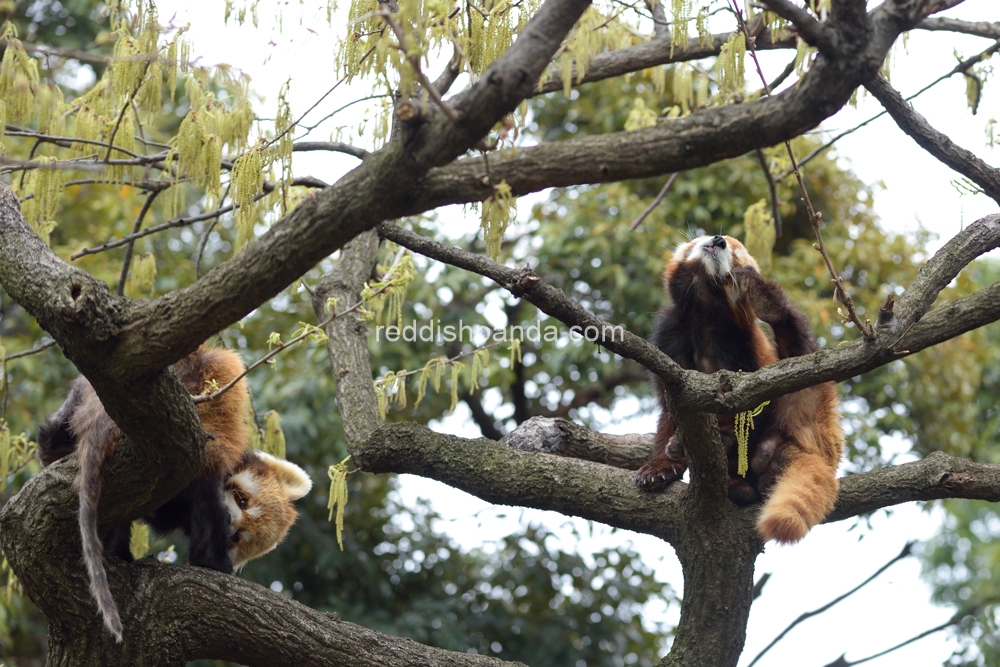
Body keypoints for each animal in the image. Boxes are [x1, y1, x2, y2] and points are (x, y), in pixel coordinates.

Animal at [632, 235, 844, 544]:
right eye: (702, 236)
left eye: (736, 253)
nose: (718, 240)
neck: (705, 313)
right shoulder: (671, 343)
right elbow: (670, 414)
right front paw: (660, 467)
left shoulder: (743, 348)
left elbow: (749, 408)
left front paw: (722, 439)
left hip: (809, 406)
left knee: (802, 364)